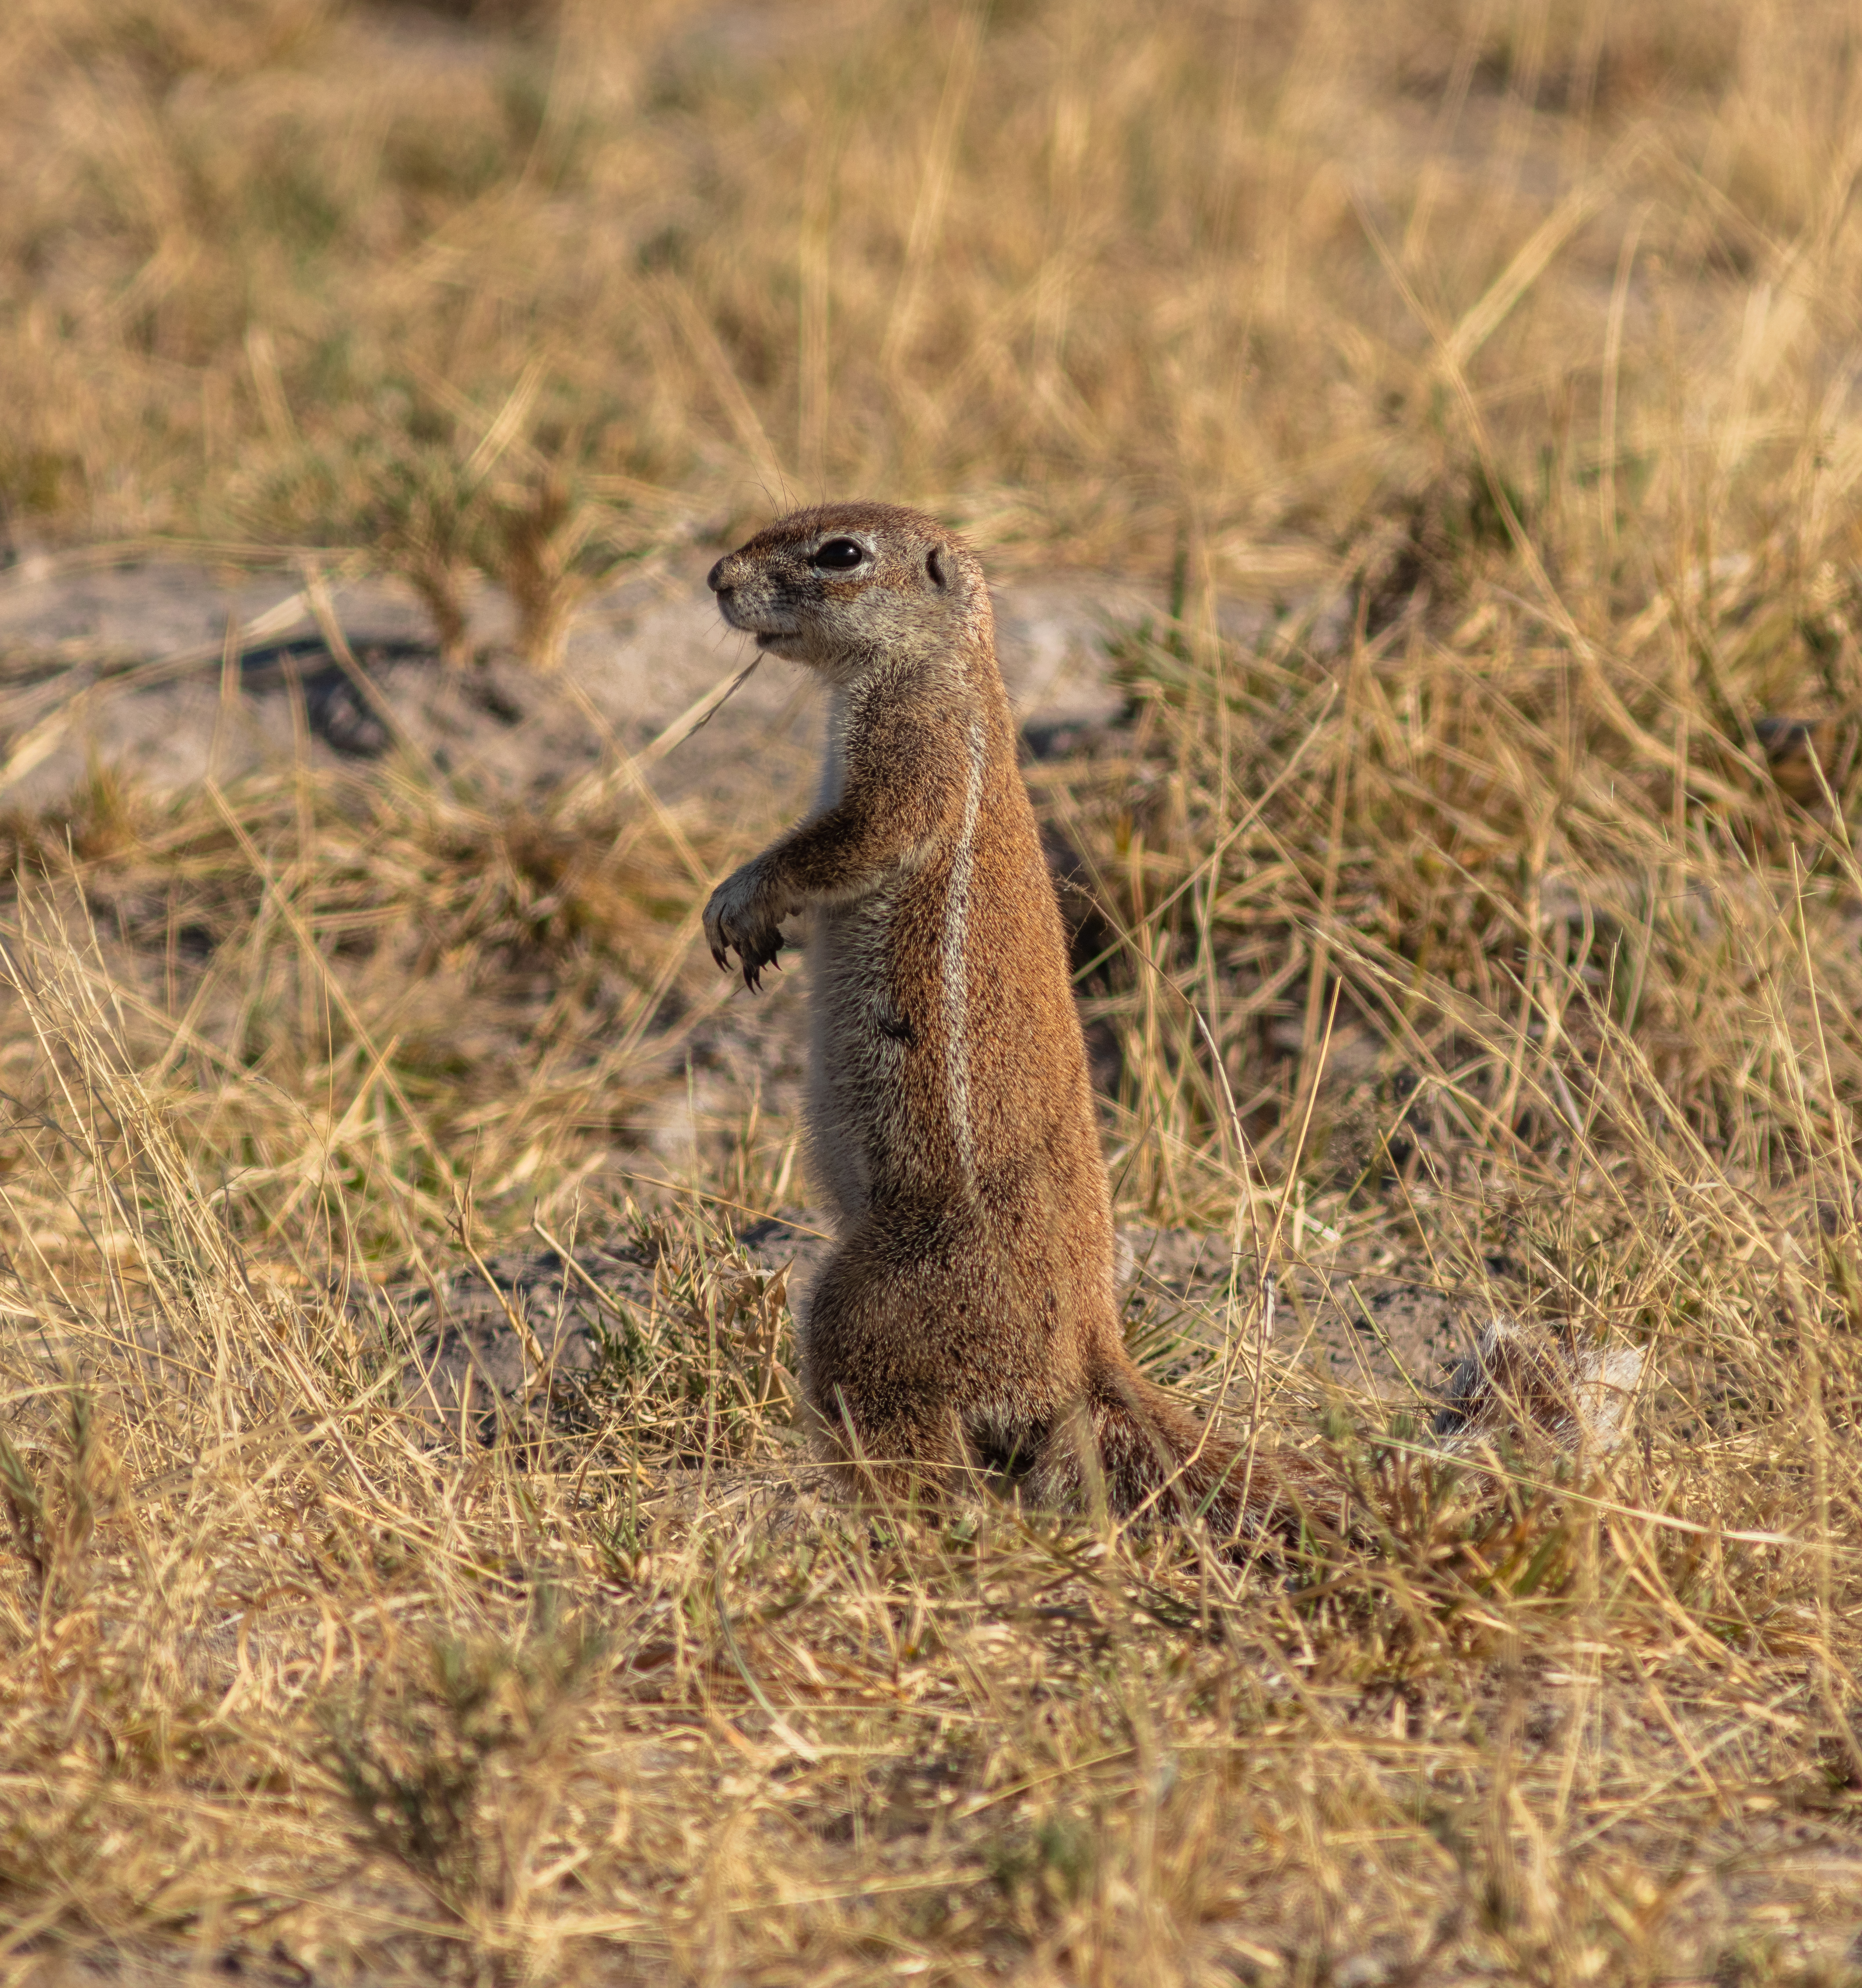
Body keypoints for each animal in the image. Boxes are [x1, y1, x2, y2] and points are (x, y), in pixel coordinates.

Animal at [702, 502, 1636, 1539]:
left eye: (840, 554)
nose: (715, 578)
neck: (947, 671)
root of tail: (1088, 1351)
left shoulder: (915, 761)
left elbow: (842, 842)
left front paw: (740, 898)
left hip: (866, 1303)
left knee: (921, 1463)